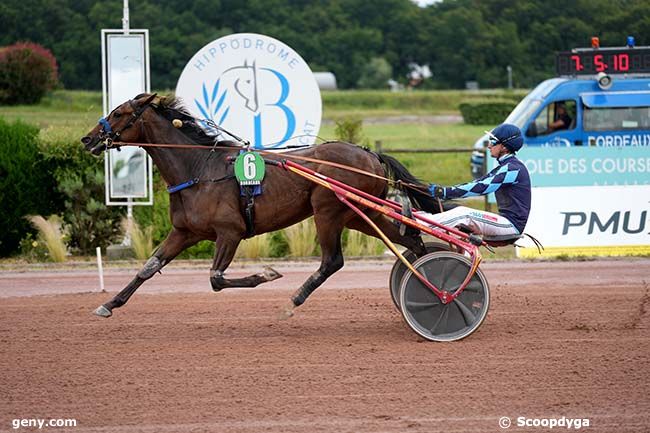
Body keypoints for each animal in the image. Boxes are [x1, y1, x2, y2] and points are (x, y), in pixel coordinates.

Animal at [79, 93, 436, 318]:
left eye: (118, 113)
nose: (88, 139)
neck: (198, 169)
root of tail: (368, 153)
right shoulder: (184, 232)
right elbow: (148, 268)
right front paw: (109, 304)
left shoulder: (230, 231)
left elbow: (216, 278)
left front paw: (266, 274)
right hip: (359, 214)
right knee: (410, 240)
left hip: (328, 211)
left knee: (333, 261)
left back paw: (294, 300)